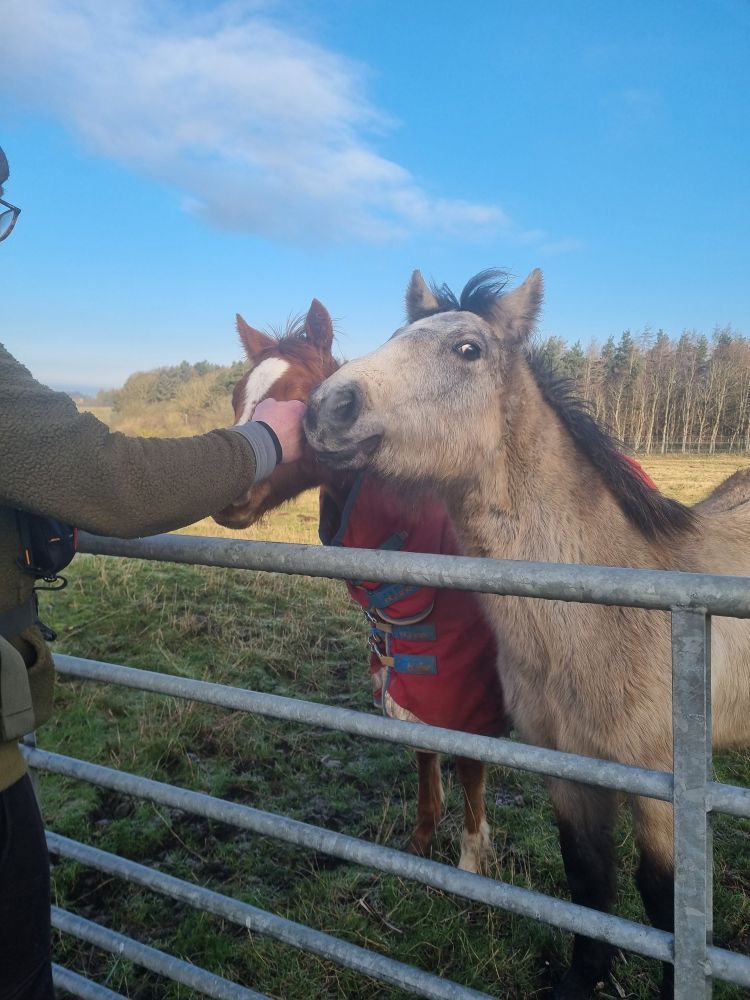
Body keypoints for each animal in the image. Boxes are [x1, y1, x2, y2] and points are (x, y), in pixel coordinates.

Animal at [214, 299, 508, 873]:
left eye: (298, 398)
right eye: (238, 397)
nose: (230, 492)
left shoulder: (467, 681)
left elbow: (470, 762)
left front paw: (471, 859)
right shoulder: (402, 662)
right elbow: (421, 745)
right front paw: (421, 841)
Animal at [303, 268, 750, 999]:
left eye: (468, 349)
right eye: (398, 336)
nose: (327, 407)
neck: (603, 620)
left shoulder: (661, 783)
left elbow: (663, 899)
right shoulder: (566, 768)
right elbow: (588, 879)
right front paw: (582, 979)